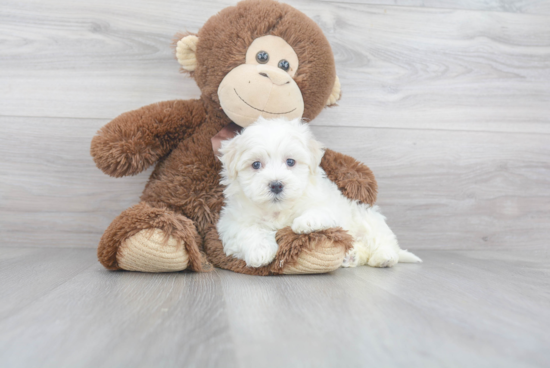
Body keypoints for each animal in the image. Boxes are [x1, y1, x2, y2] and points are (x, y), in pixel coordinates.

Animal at [217, 118, 422, 268]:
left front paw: (306, 222)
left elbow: (320, 210)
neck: (278, 210)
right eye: (256, 165)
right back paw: (352, 256)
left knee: (383, 241)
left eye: (290, 162)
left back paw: (384, 257)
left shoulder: (327, 204)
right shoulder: (232, 221)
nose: (276, 185)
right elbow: (248, 231)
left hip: (368, 221)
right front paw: (260, 251)